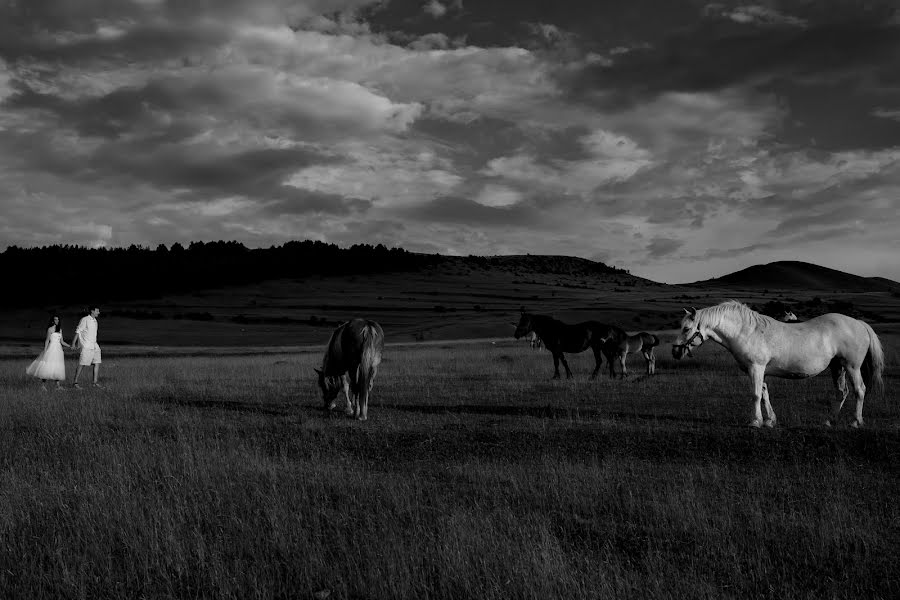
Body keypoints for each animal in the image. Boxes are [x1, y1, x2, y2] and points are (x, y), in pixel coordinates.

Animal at [672, 300, 884, 426]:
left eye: (686, 328)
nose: (675, 351)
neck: (747, 331)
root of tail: (859, 323)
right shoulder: (760, 371)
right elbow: (765, 394)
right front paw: (769, 421)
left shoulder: (756, 368)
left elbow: (756, 395)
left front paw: (755, 421)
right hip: (838, 367)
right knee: (842, 392)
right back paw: (829, 421)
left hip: (852, 367)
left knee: (859, 390)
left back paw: (856, 421)